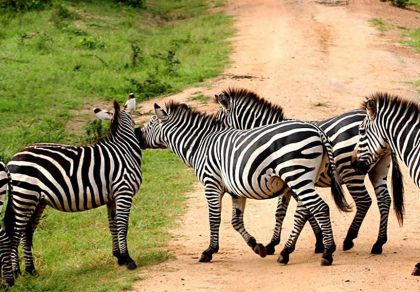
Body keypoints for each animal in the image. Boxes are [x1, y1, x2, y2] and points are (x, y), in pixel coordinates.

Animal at [4, 97, 143, 276]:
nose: (141, 135)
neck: (124, 149)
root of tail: (12, 160)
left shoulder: (112, 197)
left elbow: (113, 226)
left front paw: (118, 257)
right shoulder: (123, 192)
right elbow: (122, 226)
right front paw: (128, 259)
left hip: (36, 201)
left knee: (26, 233)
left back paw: (31, 270)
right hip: (24, 198)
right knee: (15, 234)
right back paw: (16, 272)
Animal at [141, 101, 352, 266]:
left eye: (149, 124)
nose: (136, 134)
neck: (200, 145)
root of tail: (318, 131)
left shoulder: (211, 184)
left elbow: (214, 219)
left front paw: (209, 251)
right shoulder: (236, 191)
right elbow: (236, 221)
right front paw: (257, 246)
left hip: (297, 174)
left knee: (320, 208)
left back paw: (328, 253)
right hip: (303, 178)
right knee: (306, 211)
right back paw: (287, 253)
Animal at [213, 86, 404, 260]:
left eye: (218, 120)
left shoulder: (295, 180)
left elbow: (302, 212)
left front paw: (315, 243)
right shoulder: (290, 182)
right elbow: (286, 212)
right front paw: (307, 242)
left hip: (352, 172)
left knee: (364, 201)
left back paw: (349, 239)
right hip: (378, 169)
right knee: (384, 200)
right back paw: (378, 243)